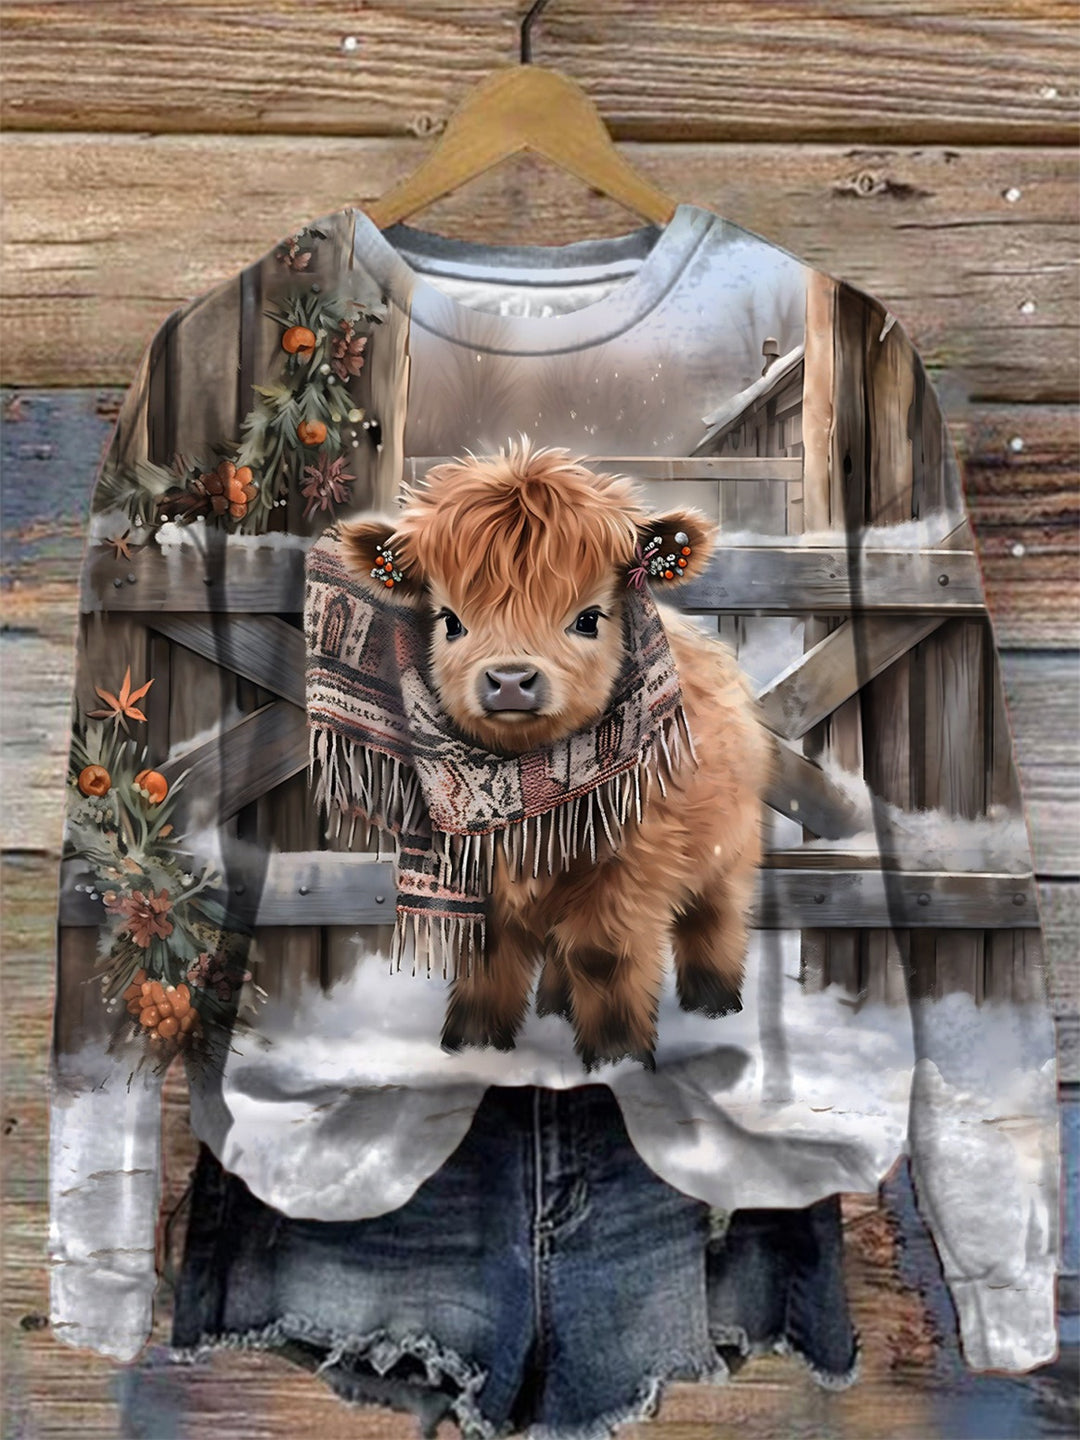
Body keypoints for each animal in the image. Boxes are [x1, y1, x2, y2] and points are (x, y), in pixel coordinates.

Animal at [339, 437, 775, 1070]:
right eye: (450, 620)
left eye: (588, 618)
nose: (510, 681)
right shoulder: (476, 872)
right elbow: (485, 955)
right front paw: (474, 1046)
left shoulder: (630, 866)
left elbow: (604, 956)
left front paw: (619, 1057)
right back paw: (556, 1008)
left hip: (728, 855)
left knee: (714, 923)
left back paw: (714, 1007)